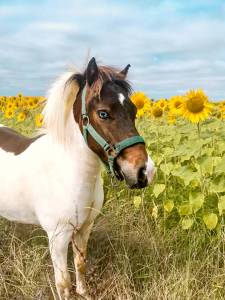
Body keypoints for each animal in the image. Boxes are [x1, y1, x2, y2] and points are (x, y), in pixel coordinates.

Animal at [0, 57, 155, 298]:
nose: (144, 171)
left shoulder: (84, 228)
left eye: (134, 111)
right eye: (103, 113)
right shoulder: (58, 238)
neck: (67, 174)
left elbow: (80, 264)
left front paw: (84, 292)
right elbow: (63, 282)